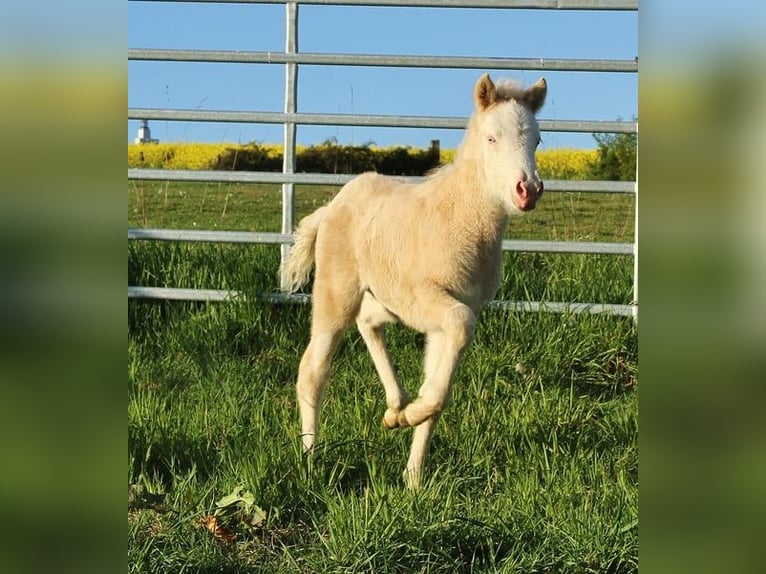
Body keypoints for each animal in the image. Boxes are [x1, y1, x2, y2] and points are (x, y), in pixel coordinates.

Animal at [281, 73, 547, 488]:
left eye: (537, 140)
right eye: (492, 138)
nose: (528, 190)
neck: (461, 221)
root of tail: (332, 205)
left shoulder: (449, 318)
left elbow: (438, 390)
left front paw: (413, 477)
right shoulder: (432, 301)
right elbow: (458, 330)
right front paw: (410, 420)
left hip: (386, 299)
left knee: (369, 323)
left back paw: (394, 407)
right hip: (337, 292)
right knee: (313, 370)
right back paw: (310, 459)